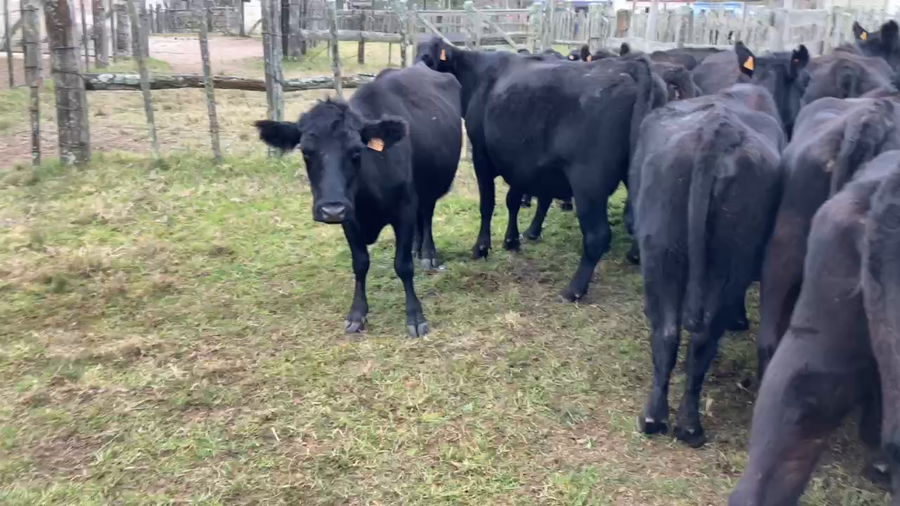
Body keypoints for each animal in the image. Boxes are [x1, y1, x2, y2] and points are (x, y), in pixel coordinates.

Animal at [253, 65, 462, 337]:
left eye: (356, 151)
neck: (366, 200)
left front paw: (415, 316)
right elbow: (360, 263)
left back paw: (427, 252)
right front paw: (357, 314)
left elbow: (403, 265)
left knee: (425, 215)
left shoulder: (404, 209)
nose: (331, 209)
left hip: (431, 187)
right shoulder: (349, 218)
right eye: (306, 152)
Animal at [417, 37, 663, 301]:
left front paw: (482, 247)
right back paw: (634, 257)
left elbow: (488, 204)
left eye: (430, 57)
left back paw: (573, 290)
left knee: (598, 235)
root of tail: (632, 66)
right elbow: (513, 200)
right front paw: (512, 240)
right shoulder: (518, 162)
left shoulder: (482, 154)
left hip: (588, 181)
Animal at [631, 84, 785, 447]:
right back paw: (685, 425)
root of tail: (718, 130)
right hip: (721, 260)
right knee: (695, 338)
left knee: (669, 332)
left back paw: (656, 420)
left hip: (663, 252)